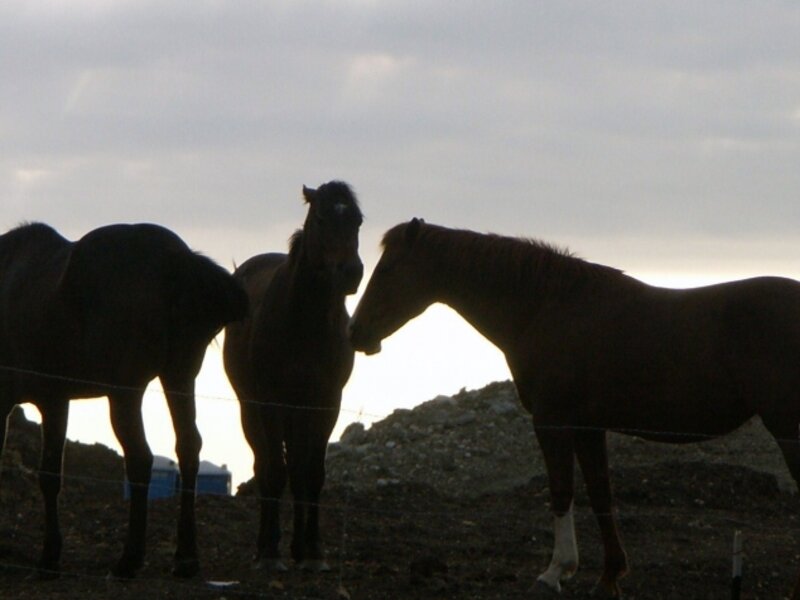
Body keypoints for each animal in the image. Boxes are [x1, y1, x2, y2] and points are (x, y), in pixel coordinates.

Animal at [0, 222, 248, 579]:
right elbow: (50, 476)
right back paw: (186, 558)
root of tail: (177, 260)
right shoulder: (56, 400)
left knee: (140, 458)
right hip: (179, 377)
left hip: (125, 393)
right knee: (188, 447)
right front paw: (50, 556)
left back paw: (129, 559)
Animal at [223, 181, 363, 571]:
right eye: (321, 217)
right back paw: (265, 546)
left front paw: (313, 550)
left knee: (298, 469)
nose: (352, 272)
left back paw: (298, 547)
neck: (305, 323)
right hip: (252, 409)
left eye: (358, 220)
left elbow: (311, 473)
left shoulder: (326, 403)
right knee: (265, 466)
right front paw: (271, 551)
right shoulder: (271, 403)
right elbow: (275, 471)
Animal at [348, 218, 800, 599]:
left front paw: (555, 572)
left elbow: (561, 491)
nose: (356, 332)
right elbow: (601, 494)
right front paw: (610, 575)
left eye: (387, 269)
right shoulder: (588, 428)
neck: (545, 309)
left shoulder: (552, 423)